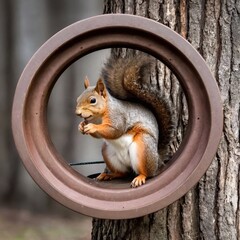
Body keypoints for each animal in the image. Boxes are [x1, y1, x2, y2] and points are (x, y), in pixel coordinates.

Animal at [76, 54, 172, 188]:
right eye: (77, 99)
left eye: (93, 100)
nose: (78, 113)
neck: (99, 117)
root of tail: (158, 160)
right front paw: (81, 126)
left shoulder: (117, 116)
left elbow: (114, 130)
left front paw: (92, 127)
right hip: (108, 152)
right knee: (123, 173)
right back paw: (109, 175)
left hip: (143, 147)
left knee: (147, 173)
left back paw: (140, 177)